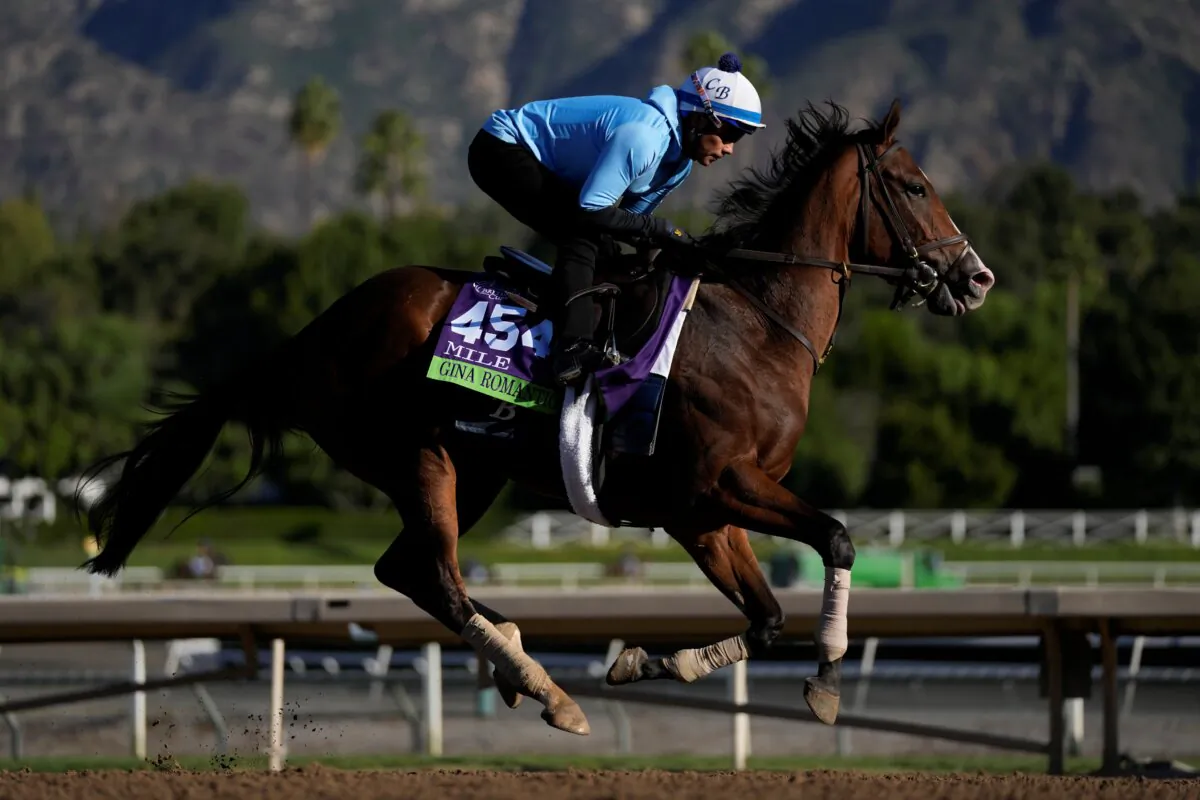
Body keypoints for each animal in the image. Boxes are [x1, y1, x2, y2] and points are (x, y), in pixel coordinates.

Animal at [77, 98, 994, 738]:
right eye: (915, 185)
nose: (976, 277)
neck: (758, 322)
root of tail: (312, 336)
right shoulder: (717, 486)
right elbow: (836, 537)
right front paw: (829, 673)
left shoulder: (703, 513)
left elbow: (766, 615)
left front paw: (643, 661)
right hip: (416, 455)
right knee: (441, 578)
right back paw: (543, 684)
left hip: (472, 468)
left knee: (406, 571)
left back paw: (521, 660)